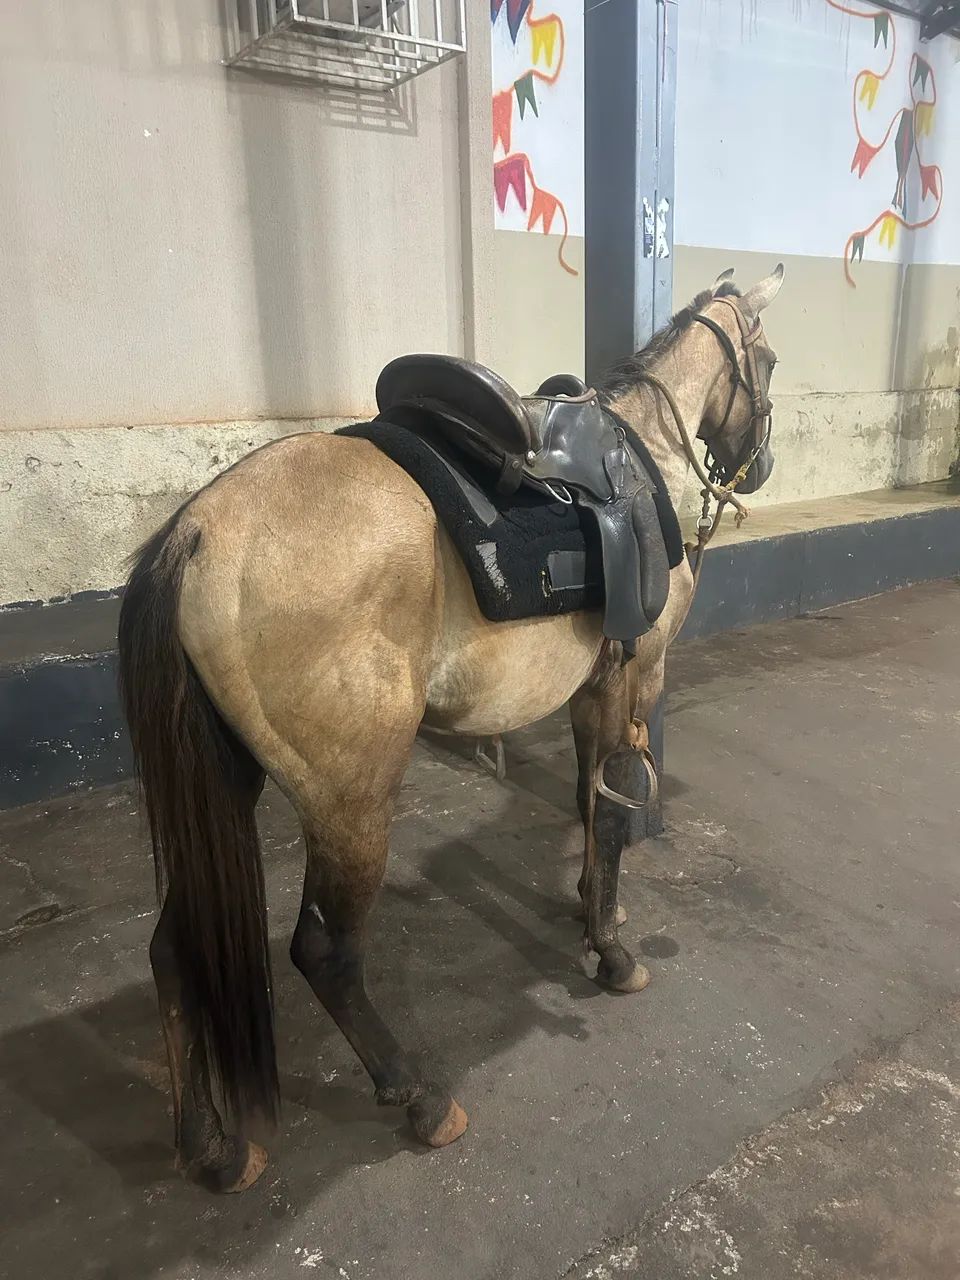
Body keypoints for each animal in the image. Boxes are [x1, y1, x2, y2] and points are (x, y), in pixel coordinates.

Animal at [117, 265, 784, 1192]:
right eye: (770, 360)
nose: (759, 467)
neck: (641, 451)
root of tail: (197, 532)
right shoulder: (634, 677)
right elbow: (615, 808)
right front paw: (611, 953)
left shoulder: (590, 689)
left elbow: (589, 805)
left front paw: (590, 910)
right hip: (352, 805)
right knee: (323, 953)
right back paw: (420, 1095)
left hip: (223, 786)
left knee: (174, 952)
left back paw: (210, 1146)